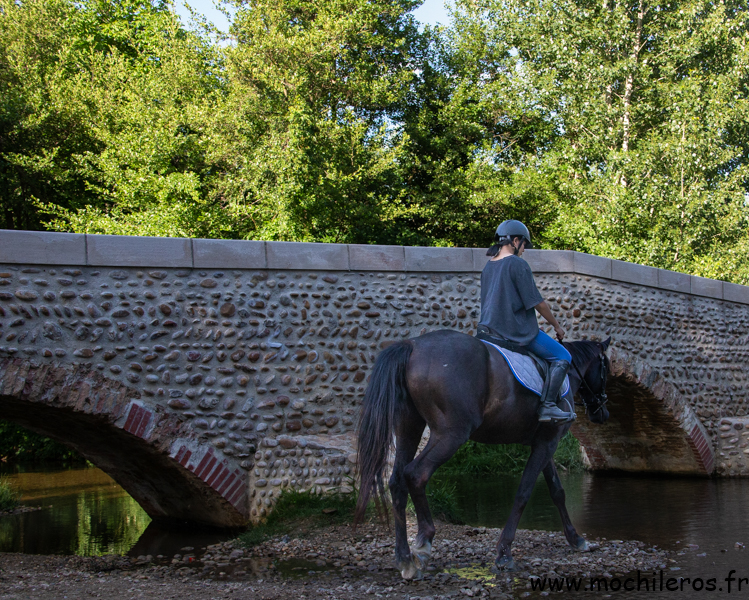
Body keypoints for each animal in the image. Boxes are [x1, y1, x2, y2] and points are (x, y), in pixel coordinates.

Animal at [352, 330, 608, 580]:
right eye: (606, 369)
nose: (602, 413)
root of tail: (413, 345)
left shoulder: (543, 443)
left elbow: (557, 491)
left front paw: (576, 539)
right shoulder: (548, 443)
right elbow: (524, 493)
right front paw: (504, 552)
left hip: (408, 427)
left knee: (396, 482)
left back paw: (405, 559)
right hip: (451, 434)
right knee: (416, 474)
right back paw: (424, 541)